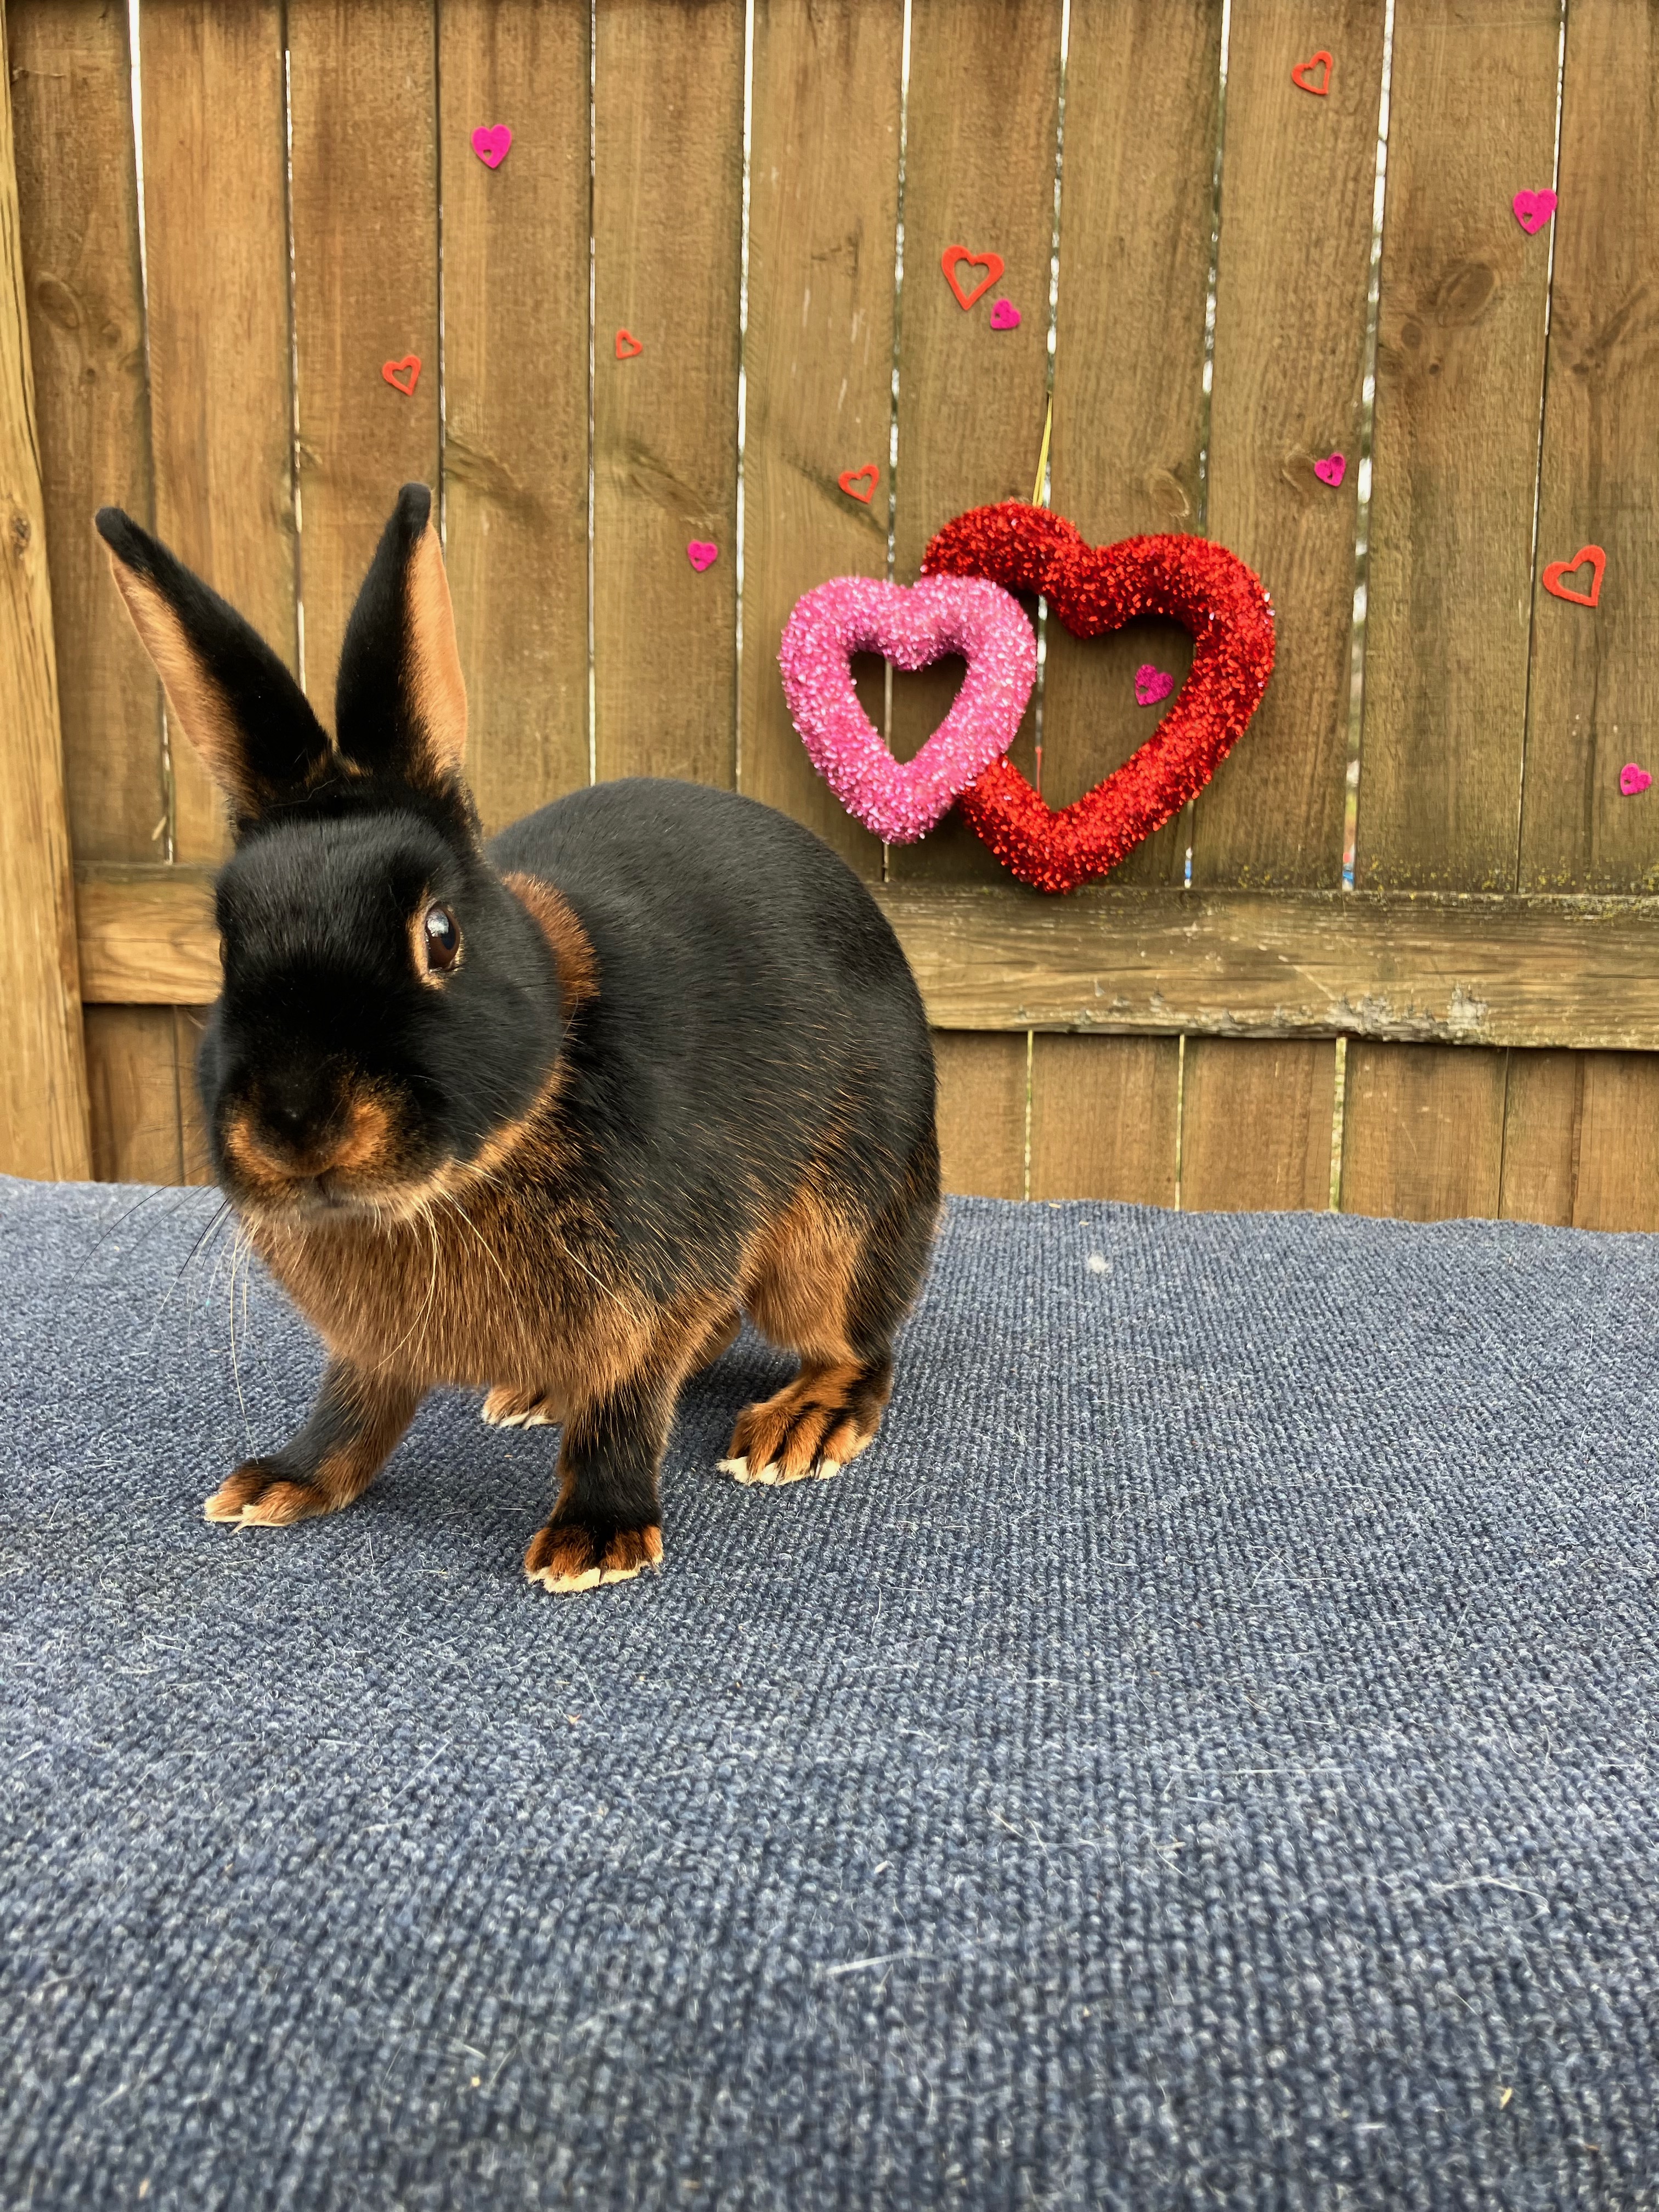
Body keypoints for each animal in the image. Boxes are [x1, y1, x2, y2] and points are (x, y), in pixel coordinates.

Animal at [96, 483, 940, 1593]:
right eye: (225, 946)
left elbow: (625, 1411)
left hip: (841, 1230)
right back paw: (534, 1392)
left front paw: (595, 1539)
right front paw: (280, 1483)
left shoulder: (650, 1295)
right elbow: (353, 1411)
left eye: (439, 934)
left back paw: (800, 1425)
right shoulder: (372, 1350)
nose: (297, 1125)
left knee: (854, 1344)